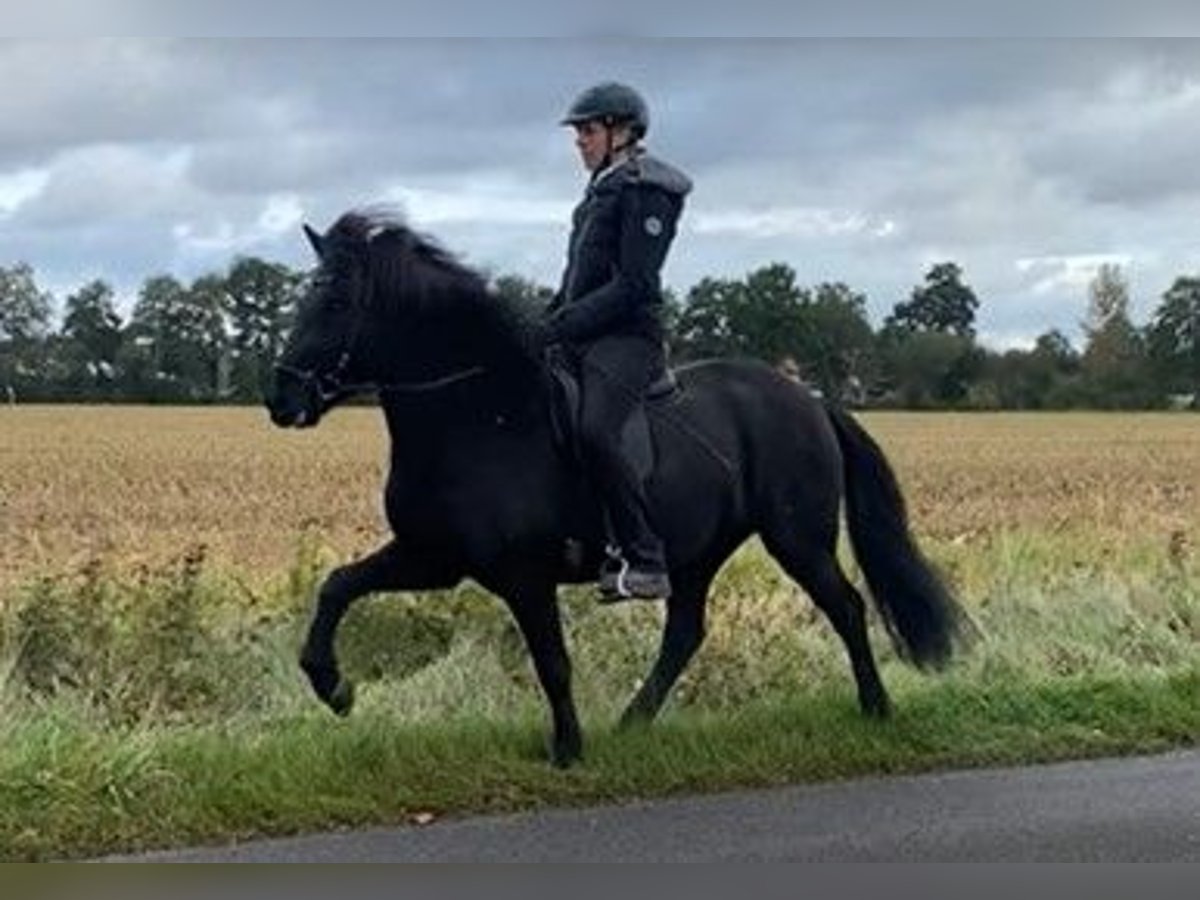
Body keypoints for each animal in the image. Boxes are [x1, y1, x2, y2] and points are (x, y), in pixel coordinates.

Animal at [267, 211, 960, 768]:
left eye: (334, 304)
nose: (281, 398)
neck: (478, 416)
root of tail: (809, 399)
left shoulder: (522, 574)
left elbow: (552, 662)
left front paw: (567, 751)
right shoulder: (433, 557)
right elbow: (337, 587)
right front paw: (333, 688)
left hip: (797, 538)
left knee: (846, 607)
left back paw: (876, 707)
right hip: (698, 550)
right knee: (686, 631)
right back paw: (633, 721)